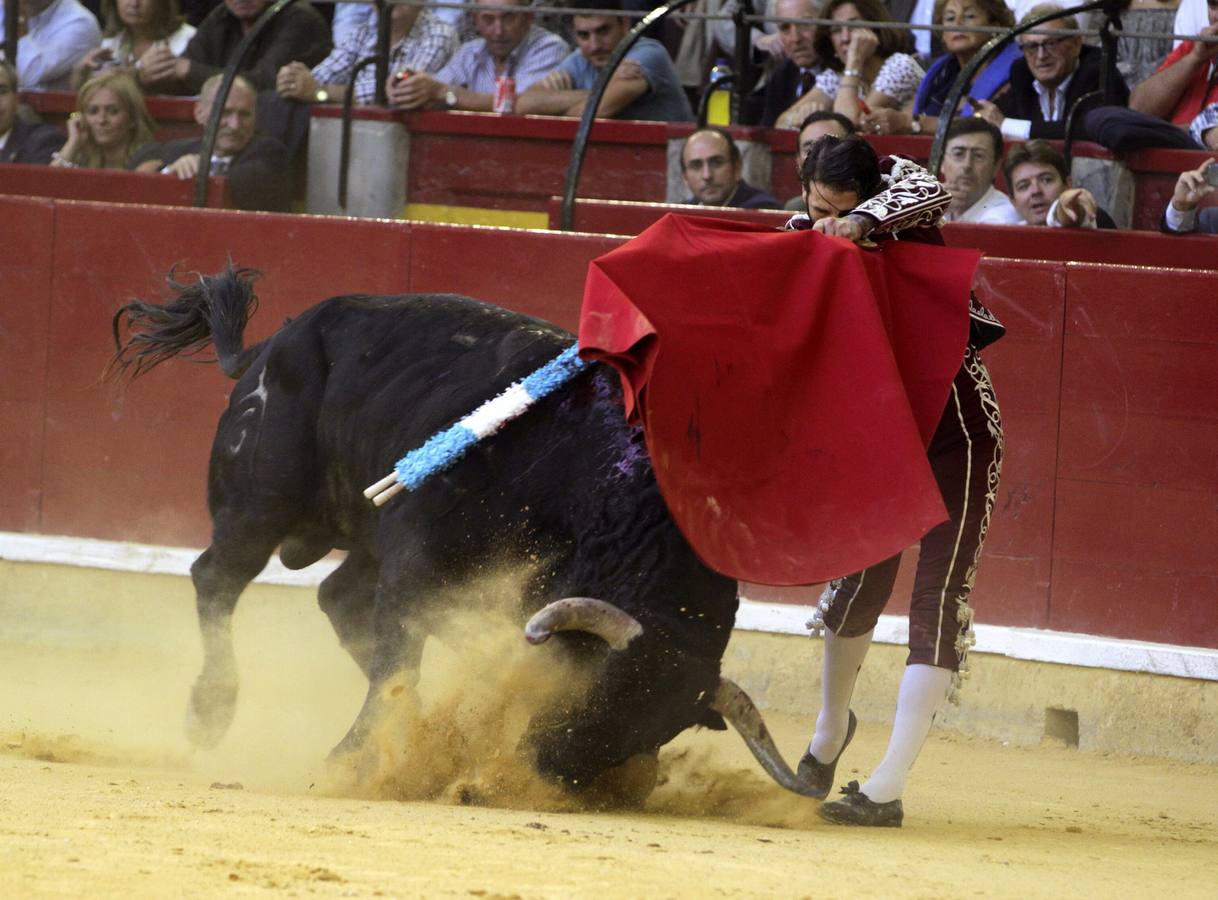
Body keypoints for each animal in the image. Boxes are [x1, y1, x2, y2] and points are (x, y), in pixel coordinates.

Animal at [112, 269, 818, 803]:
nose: (555, 770)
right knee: (218, 577)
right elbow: (400, 656)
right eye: (601, 689)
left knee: (338, 597)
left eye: (659, 727)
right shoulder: (417, 560)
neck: (581, 473)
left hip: (360, 539)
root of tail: (266, 348)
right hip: (259, 505)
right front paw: (352, 761)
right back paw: (210, 713)